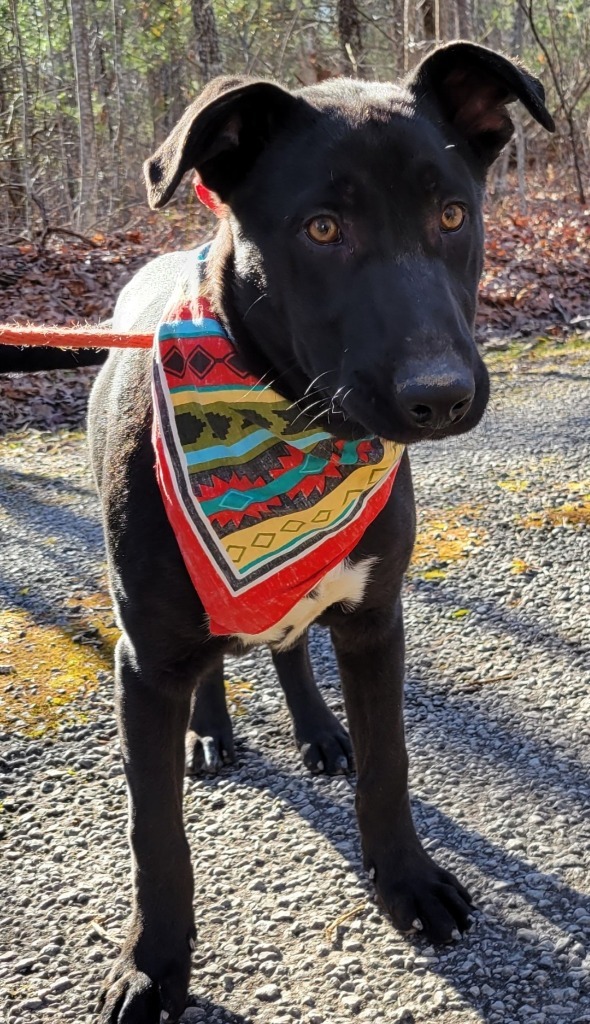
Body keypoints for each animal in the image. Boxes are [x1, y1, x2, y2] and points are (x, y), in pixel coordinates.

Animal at [87, 41, 553, 1024]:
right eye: (323, 229)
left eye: (453, 214)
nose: (441, 395)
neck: (296, 424)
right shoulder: (141, 658)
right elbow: (156, 835)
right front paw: (152, 963)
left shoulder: (375, 620)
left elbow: (389, 764)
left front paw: (405, 881)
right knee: (219, 663)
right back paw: (210, 731)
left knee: (290, 644)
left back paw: (316, 728)